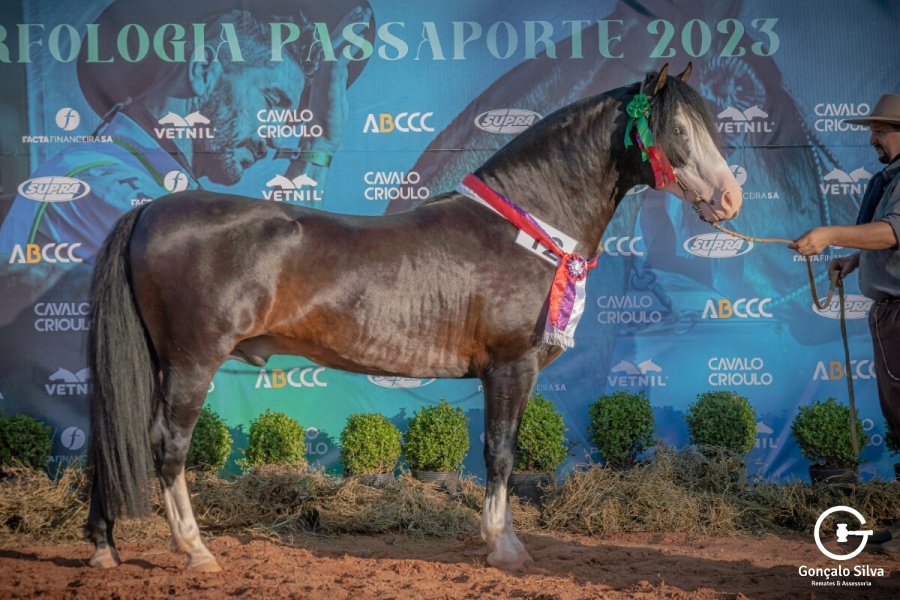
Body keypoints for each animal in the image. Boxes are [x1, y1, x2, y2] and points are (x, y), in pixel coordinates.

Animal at [84, 64, 742, 573]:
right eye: (677, 128)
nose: (731, 199)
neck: (525, 229)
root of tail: (149, 210)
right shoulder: (511, 367)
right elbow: (500, 454)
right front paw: (504, 547)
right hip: (193, 360)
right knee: (168, 445)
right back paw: (195, 551)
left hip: (158, 362)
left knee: (114, 437)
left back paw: (104, 547)